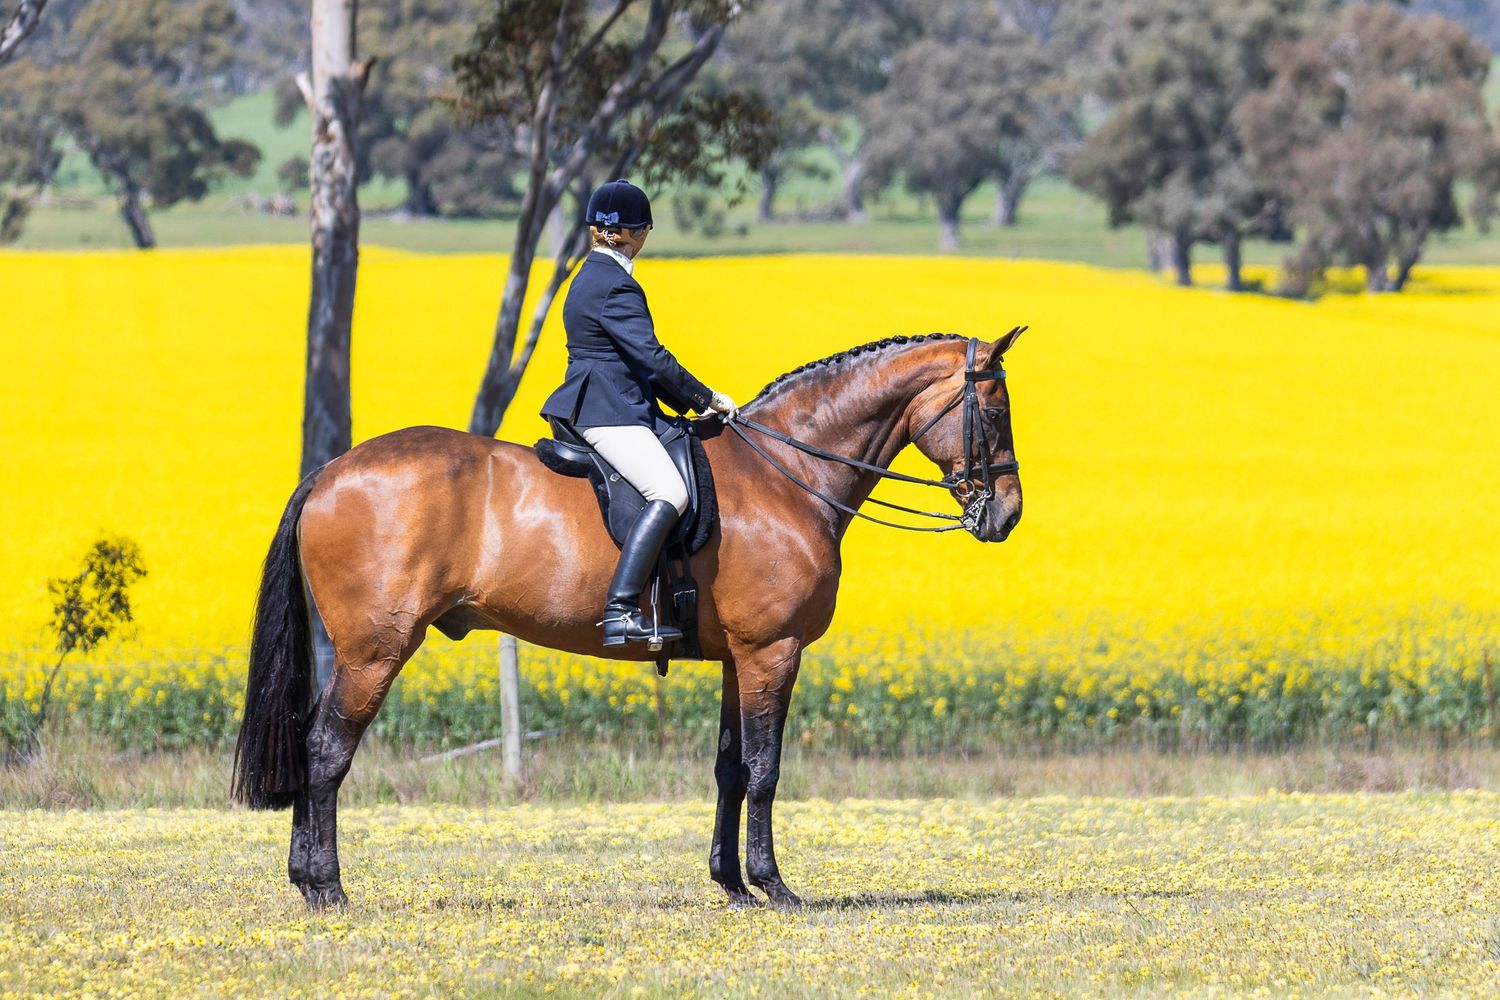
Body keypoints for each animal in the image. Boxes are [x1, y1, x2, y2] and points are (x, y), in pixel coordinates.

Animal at [232, 328, 1025, 909]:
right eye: (992, 412)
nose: (1007, 517)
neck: (786, 476)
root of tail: (331, 473)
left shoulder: (738, 658)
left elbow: (730, 767)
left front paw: (732, 887)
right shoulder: (773, 650)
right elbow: (766, 768)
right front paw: (774, 887)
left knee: (313, 743)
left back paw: (307, 882)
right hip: (375, 650)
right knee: (327, 751)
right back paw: (327, 889)